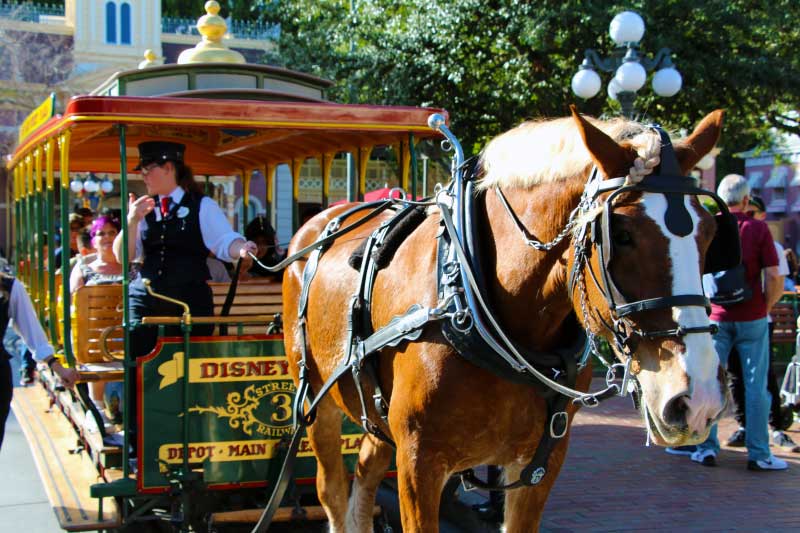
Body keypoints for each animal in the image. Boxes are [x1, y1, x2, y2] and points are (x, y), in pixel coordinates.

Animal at [284, 107, 728, 528]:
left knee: (364, 475)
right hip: (319, 401)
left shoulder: (541, 463)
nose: (697, 400)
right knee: (332, 490)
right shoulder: (418, 461)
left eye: (710, 233)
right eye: (620, 234)